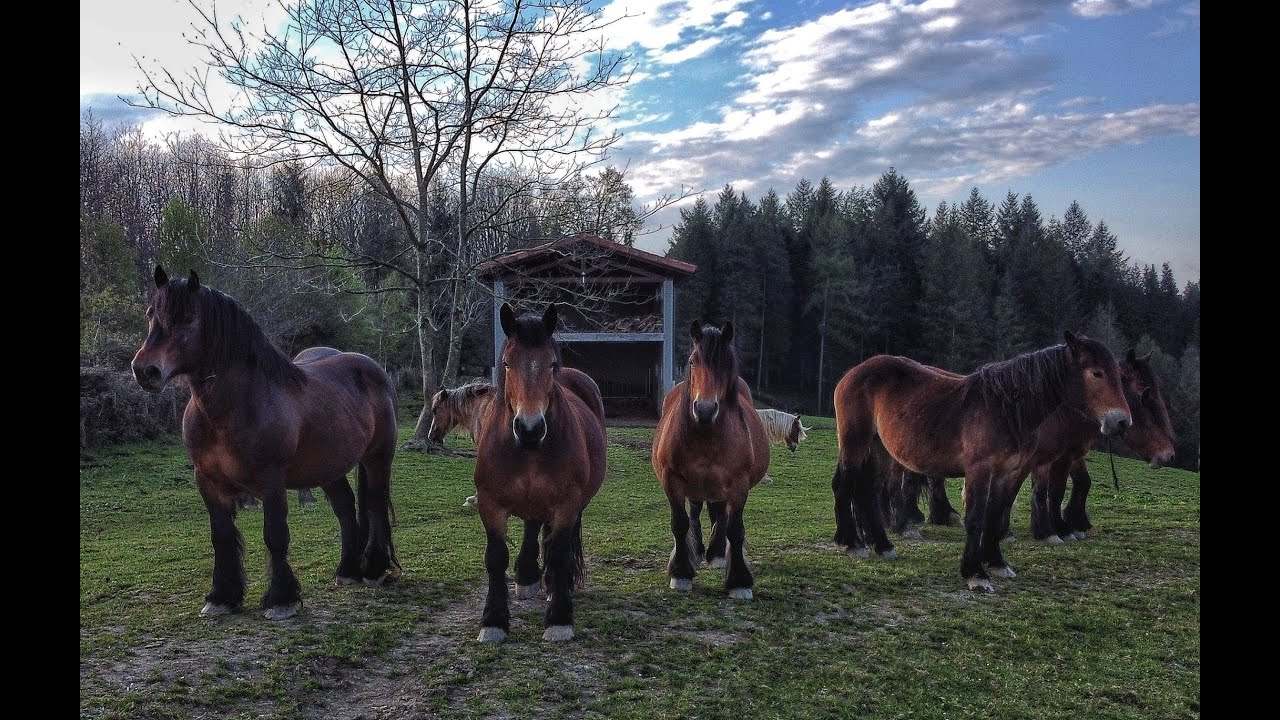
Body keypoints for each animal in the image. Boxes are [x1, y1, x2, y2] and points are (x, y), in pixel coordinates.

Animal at [131, 268, 400, 619]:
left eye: (188, 318)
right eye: (151, 314)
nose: (144, 370)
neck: (236, 406)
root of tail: (372, 368)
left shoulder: (271, 480)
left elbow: (275, 536)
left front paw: (281, 599)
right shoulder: (208, 481)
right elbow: (221, 537)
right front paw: (221, 597)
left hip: (378, 458)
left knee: (375, 505)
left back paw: (375, 570)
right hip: (328, 468)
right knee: (345, 507)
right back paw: (347, 571)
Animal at [472, 303, 607, 643]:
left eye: (551, 364)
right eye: (507, 363)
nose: (529, 428)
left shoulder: (567, 504)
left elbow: (559, 554)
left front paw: (559, 619)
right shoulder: (489, 503)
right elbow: (496, 557)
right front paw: (493, 621)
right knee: (533, 525)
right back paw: (529, 577)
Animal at [652, 321, 770, 599]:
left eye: (727, 362)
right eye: (692, 361)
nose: (705, 409)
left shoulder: (738, 484)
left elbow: (735, 529)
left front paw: (739, 581)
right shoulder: (672, 480)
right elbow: (680, 524)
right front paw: (681, 573)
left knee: (721, 514)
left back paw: (716, 554)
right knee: (695, 513)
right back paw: (696, 553)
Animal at [831, 332, 1131, 592]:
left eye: (1119, 376)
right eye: (1097, 373)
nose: (1121, 421)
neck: (1005, 408)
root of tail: (854, 372)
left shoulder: (1004, 474)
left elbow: (994, 517)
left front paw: (996, 563)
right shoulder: (979, 470)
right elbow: (975, 519)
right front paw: (975, 573)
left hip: (879, 449)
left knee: (868, 492)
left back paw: (882, 545)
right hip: (855, 442)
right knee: (843, 485)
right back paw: (852, 543)